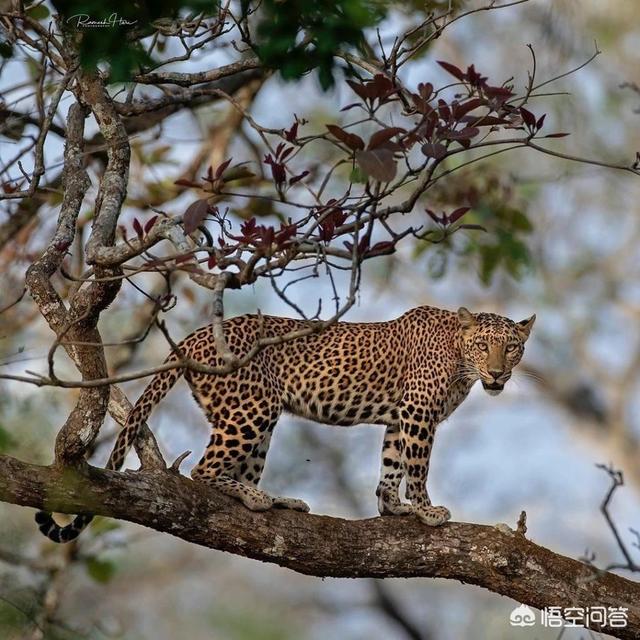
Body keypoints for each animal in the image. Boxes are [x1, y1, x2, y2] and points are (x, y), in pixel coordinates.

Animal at [35, 302, 536, 544]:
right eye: (484, 345)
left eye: (511, 347)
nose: (497, 374)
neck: (460, 362)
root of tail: (193, 338)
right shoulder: (417, 412)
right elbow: (417, 466)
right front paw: (427, 509)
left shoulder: (400, 416)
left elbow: (391, 463)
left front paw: (392, 506)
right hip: (252, 409)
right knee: (203, 469)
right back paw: (255, 498)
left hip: (257, 418)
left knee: (234, 468)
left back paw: (274, 499)